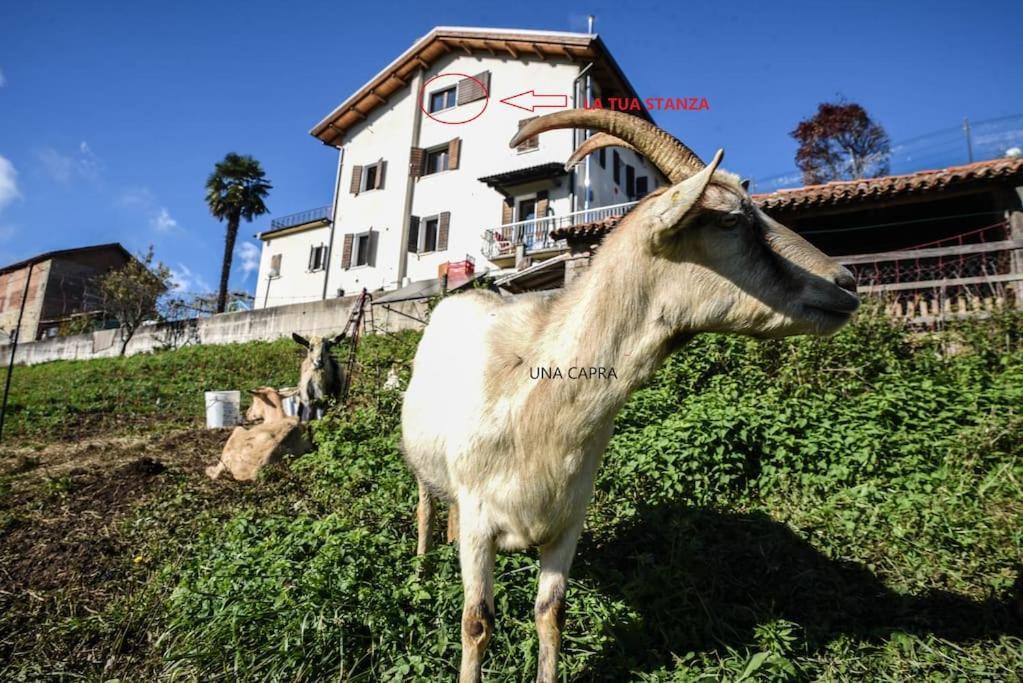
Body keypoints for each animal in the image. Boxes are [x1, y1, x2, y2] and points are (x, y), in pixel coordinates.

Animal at [401, 109, 863, 678]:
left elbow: (550, 613)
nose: (847, 282)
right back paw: (422, 570)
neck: (536, 397)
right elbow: (476, 623)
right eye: (731, 220)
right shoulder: (482, 524)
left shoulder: (567, 521)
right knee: (424, 506)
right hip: (422, 464)